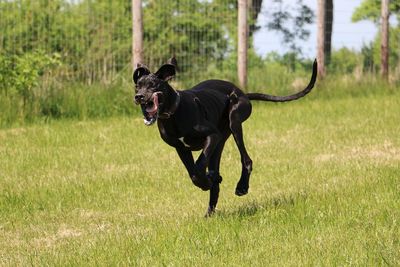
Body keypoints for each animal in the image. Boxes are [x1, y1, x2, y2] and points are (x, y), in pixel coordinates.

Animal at [134, 58, 318, 218]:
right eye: (137, 86)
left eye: (153, 85)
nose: (138, 97)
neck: (174, 112)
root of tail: (243, 92)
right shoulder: (181, 148)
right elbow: (193, 172)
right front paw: (207, 181)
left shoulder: (211, 136)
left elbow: (198, 166)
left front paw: (206, 181)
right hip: (220, 141)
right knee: (216, 174)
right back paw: (210, 209)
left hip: (234, 120)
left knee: (246, 159)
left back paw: (241, 187)